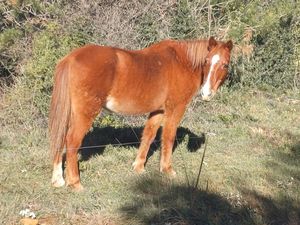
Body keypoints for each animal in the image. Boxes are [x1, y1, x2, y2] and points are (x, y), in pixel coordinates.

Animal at [49, 36, 233, 190]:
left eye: (225, 64)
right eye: (206, 61)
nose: (206, 94)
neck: (182, 62)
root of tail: (71, 58)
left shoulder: (158, 111)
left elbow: (149, 136)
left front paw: (138, 167)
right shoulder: (175, 109)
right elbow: (168, 137)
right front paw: (167, 170)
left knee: (60, 137)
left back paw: (58, 180)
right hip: (85, 113)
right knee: (72, 141)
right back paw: (75, 183)